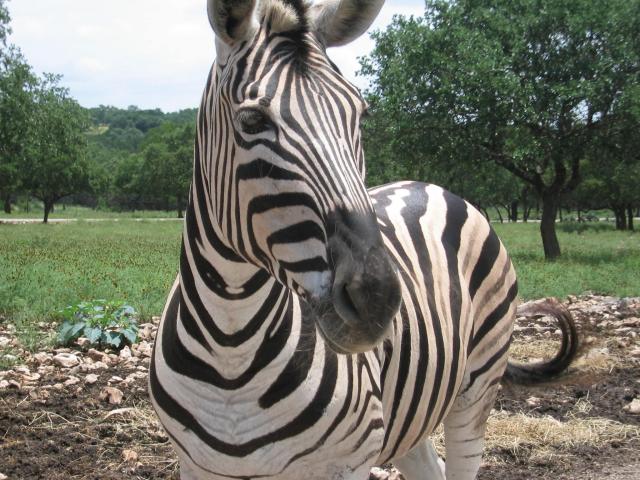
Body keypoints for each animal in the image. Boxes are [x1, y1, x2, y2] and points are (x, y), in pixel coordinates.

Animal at [148, 1, 576, 478]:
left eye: (360, 115)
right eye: (252, 120)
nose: (376, 300)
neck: (231, 349)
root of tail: (428, 184)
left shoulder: (347, 462)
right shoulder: (197, 465)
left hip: (477, 385)